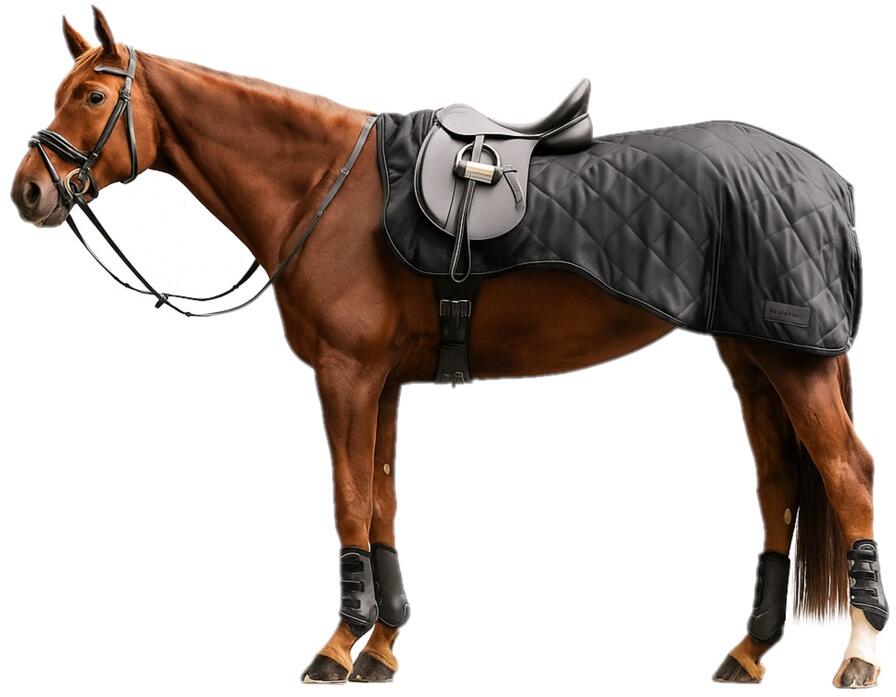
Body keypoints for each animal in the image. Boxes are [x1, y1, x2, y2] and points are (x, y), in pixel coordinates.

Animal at [10, 8, 887, 688]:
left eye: (93, 94)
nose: (29, 189)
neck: (326, 188)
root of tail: (825, 177)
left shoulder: (347, 376)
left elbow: (348, 500)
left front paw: (337, 646)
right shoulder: (384, 382)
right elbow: (382, 497)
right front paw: (385, 642)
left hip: (795, 360)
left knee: (847, 474)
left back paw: (860, 654)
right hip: (753, 356)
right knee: (780, 484)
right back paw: (748, 650)